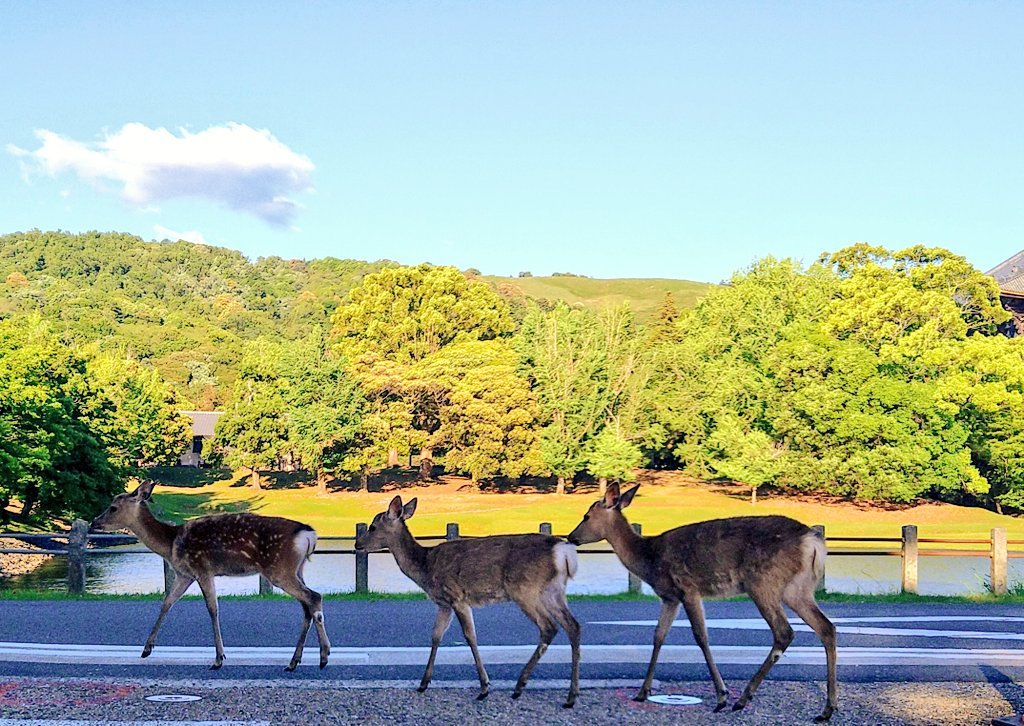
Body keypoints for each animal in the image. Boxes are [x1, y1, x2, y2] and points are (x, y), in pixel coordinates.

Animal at [90, 479, 331, 671]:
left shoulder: (201, 568)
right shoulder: (184, 574)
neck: (170, 544)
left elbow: (212, 609)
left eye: (113, 507)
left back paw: (323, 656)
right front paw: (146, 649)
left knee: (314, 597)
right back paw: (295, 662)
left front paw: (218, 659)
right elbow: (166, 603)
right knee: (307, 606)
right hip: (296, 569)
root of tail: (309, 534)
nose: (94, 521)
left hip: (279, 569)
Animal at [352, 495, 581, 704]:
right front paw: (424, 683)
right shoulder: (443, 603)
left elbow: (470, 636)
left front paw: (484, 687)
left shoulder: (457, 597)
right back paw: (571, 695)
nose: (356, 544)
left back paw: (520, 686)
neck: (426, 566)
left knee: (549, 627)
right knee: (573, 626)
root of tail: (563, 551)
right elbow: (436, 636)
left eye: (372, 527)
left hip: (525, 589)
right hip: (553, 590)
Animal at [565, 481, 835, 720]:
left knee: (784, 632)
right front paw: (642, 692)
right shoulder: (670, 598)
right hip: (798, 589)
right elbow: (658, 635)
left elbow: (701, 637)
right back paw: (827, 709)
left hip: (763, 582)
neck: (650, 559)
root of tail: (812, 541)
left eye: (586, 515)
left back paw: (742, 698)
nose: (570, 537)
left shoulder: (688, 588)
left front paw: (721, 695)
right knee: (826, 627)